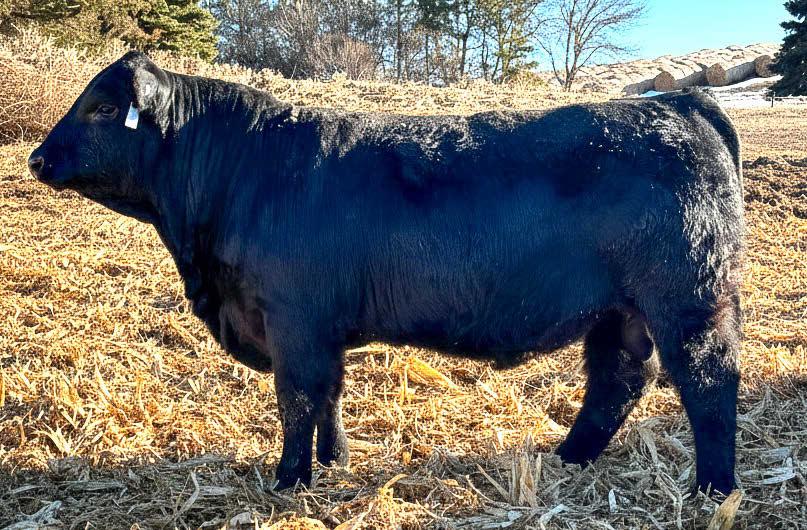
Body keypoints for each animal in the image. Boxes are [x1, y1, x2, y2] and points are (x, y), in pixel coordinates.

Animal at [28, 52, 744, 495]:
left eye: (101, 107)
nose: (36, 157)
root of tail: (680, 104)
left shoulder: (294, 321)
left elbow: (297, 398)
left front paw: (290, 478)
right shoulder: (319, 328)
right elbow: (328, 395)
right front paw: (333, 461)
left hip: (688, 299)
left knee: (708, 381)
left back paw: (713, 488)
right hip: (621, 311)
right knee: (617, 382)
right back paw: (567, 458)